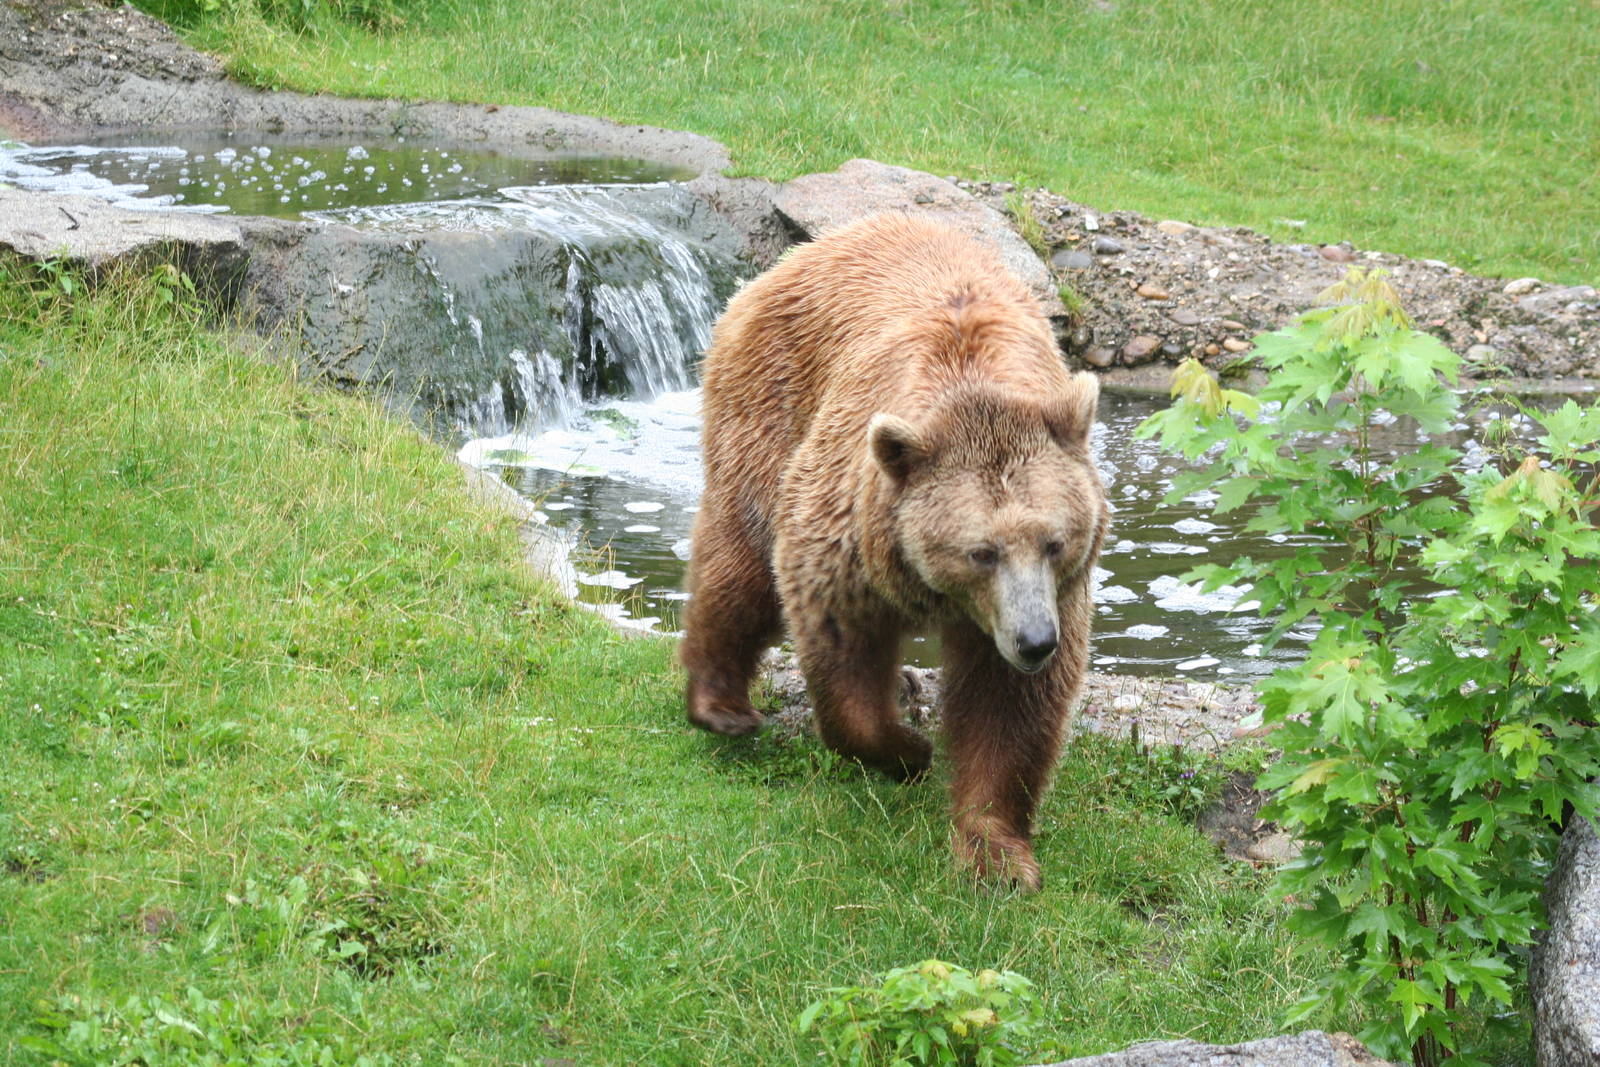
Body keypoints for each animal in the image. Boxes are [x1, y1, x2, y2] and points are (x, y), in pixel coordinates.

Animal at [679, 213, 1109, 890]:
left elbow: (1009, 707)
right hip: (767, 403)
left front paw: (996, 854)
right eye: (981, 551)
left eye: (1054, 541)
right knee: (741, 559)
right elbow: (840, 637)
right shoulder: (851, 525)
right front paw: (908, 751)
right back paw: (721, 704)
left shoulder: (1056, 591)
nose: (1036, 641)